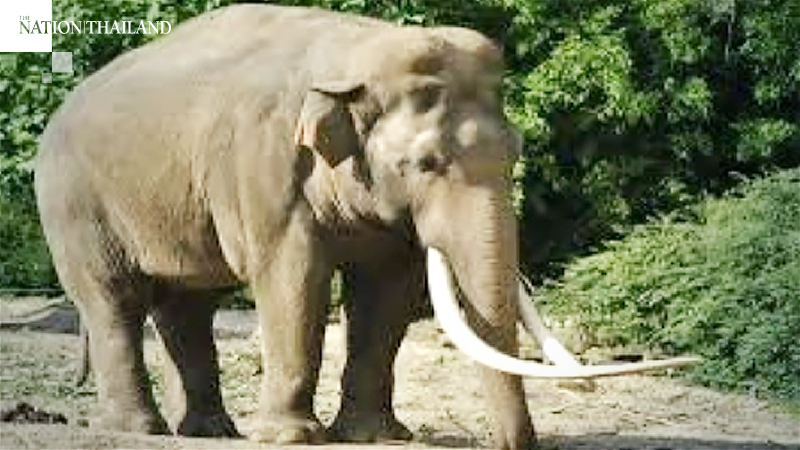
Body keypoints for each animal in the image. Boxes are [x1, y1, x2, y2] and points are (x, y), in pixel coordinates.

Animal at [35, 4, 698, 449]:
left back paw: (207, 431)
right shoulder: (262, 166)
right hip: (73, 205)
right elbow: (293, 277)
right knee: (113, 299)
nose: (515, 444)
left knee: (188, 303)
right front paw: (292, 438)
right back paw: (137, 428)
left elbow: (387, 293)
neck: (355, 55)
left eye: (515, 153)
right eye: (426, 164)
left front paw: (376, 435)